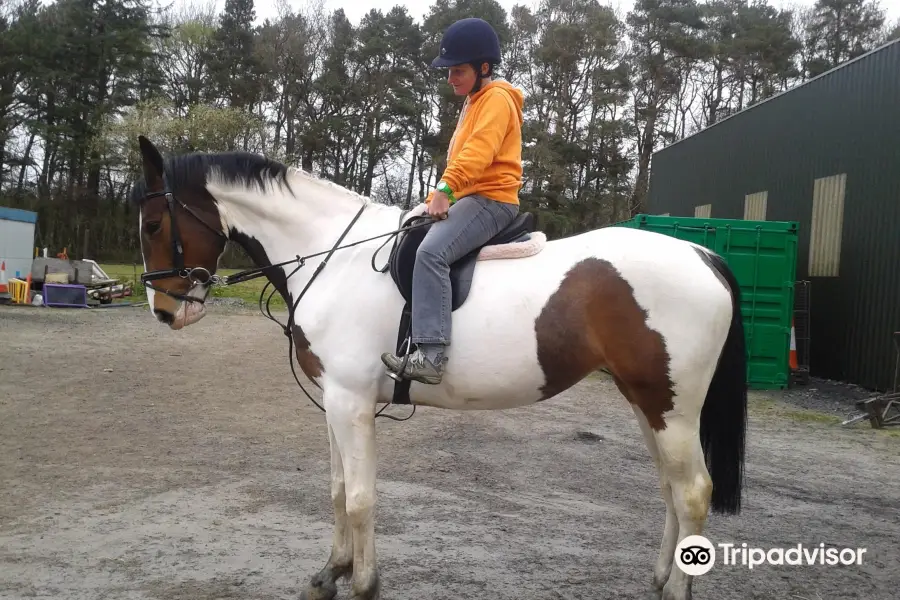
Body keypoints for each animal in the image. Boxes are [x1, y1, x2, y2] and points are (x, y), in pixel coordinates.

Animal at [128, 136, 744, 600]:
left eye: (154, 224)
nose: (163, 311)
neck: (335, 256)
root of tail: (702, 255)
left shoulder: (351, 403)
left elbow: (361, 497)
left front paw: (365, 583)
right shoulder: (334, 402)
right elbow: (337, 489)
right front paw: (331, 573)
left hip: (670, 406)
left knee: (693, 492)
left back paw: (676, 589)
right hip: (646, 402)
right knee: (670, 489)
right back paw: (661, 577)